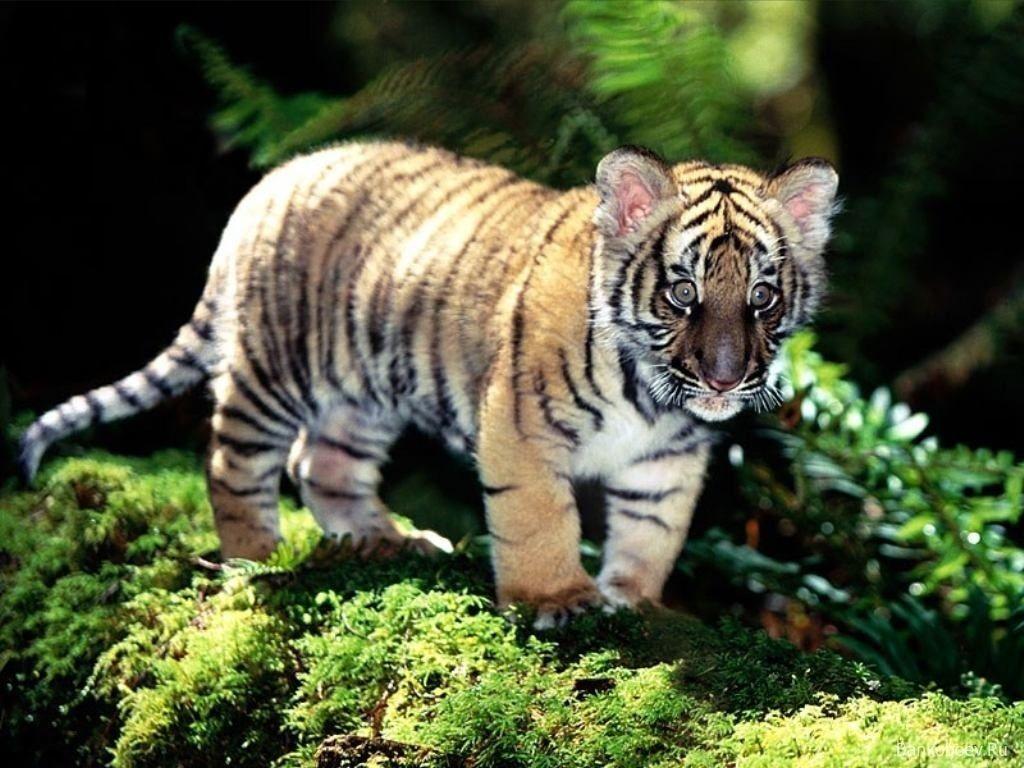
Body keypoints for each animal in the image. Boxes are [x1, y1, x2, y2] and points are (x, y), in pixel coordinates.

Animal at [18, 141, 837, 626]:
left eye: (762, 297)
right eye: (682, 294)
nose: (726, 377)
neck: (653, 395)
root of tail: (271, 181)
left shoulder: (667, 460)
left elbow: (652, 531)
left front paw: (632, 600)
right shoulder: (520, 430)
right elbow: (540, 519)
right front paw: (555, 599)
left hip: (363, 392)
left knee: (319, 463)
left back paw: (385, 540)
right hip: (276, 369)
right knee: (233, 460)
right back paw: (257, 556)